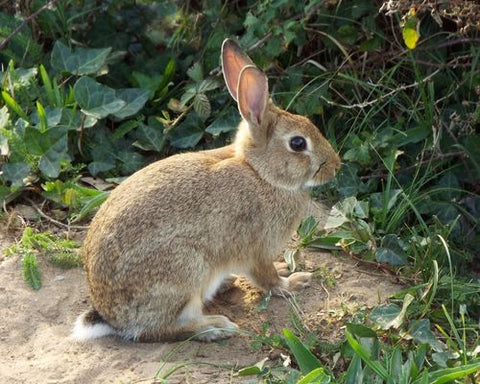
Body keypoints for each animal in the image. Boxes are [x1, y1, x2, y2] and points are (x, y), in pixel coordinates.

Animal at [72, 39, 342, 342]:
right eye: (298, 143)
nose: (335, 167)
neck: (260, 173)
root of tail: (112, 318)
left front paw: (286, 269)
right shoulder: (258, 250)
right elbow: (267, 279)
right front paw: (292, 282)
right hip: (185, 270)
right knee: (160, 329)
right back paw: (216, 327)